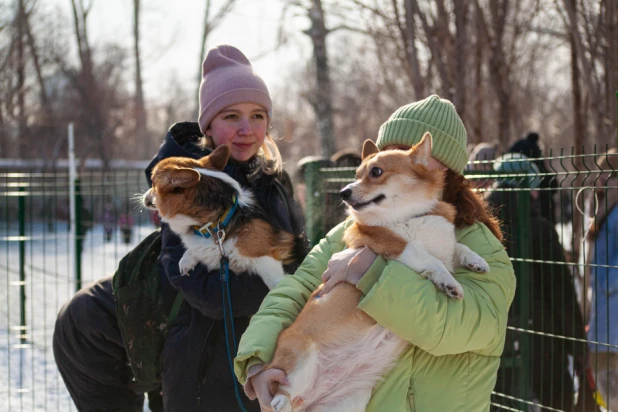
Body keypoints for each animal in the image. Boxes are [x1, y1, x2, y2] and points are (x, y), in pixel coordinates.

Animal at [140, 146, 304, 290]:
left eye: (153, 181)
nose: (143, 198)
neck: (218, 221)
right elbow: (194, 251)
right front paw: (186, 261)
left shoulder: (267, 262)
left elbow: (275, 286)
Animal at [262, 134, 488, 410]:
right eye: (357, 173)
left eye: (376, 172)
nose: (343, 192)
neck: (412, 215)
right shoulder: (396, 247)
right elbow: (429, 259)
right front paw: (448, 282)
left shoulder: (445, 246)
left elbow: (458, 247)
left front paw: (476, 260)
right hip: (300, 362)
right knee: (283, 393)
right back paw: (279, 401)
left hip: (349, 401)